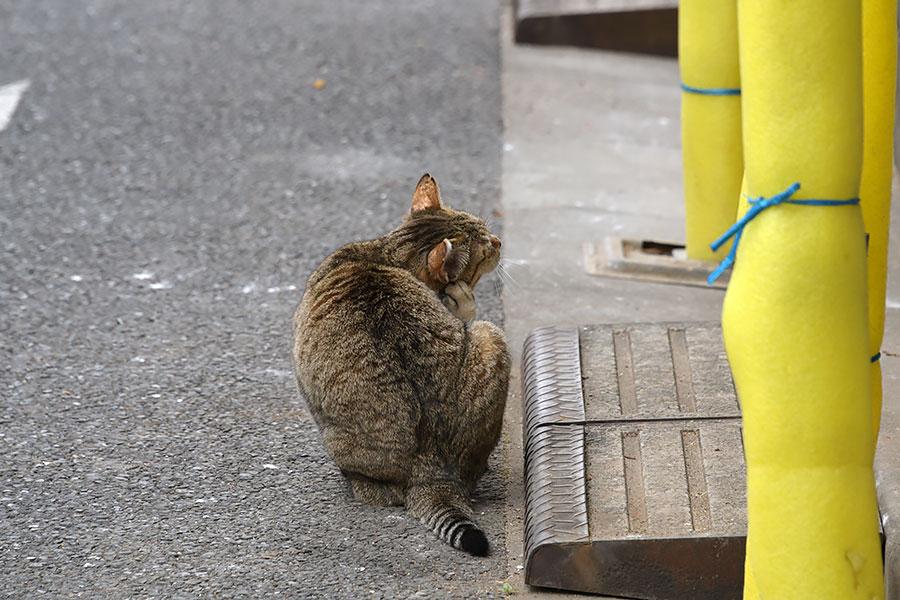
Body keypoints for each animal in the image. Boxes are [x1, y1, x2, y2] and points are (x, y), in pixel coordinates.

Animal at [292, 171, 510, 556]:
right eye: (485, 247)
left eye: (489, 235)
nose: (499, 241)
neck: (385, 257)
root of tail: (430, 465)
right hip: (491, 340)